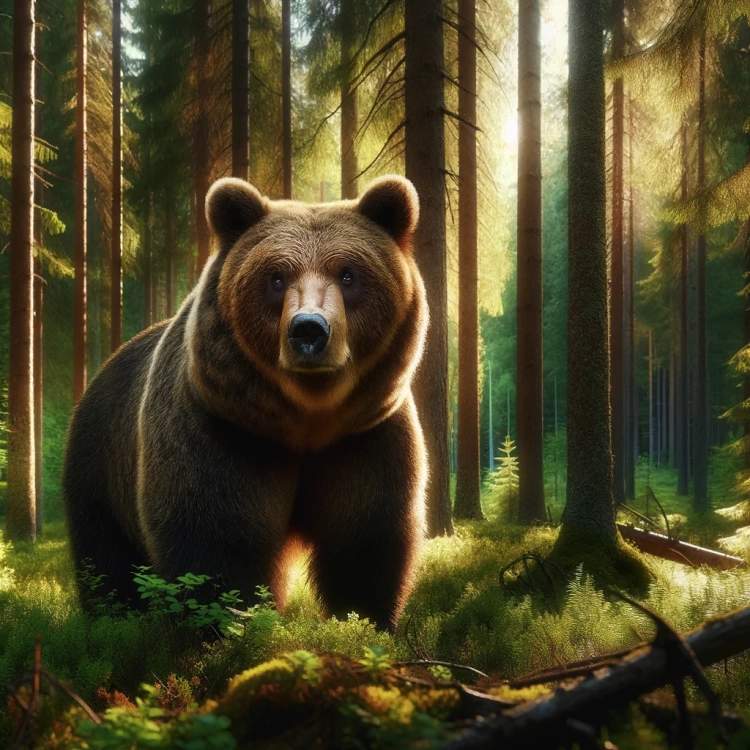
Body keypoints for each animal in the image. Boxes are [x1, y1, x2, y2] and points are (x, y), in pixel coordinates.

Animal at [62, 175, 428, 630]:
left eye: (348, 274)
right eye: (276, 277)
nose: (309, 330)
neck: (307, 419)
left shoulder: (363, 437)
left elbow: (365, 538)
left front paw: (365, 620)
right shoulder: (223, 432)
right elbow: (215, 539)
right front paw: (227, 622)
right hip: (101, 466)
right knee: (106, 561)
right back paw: (113, 619)